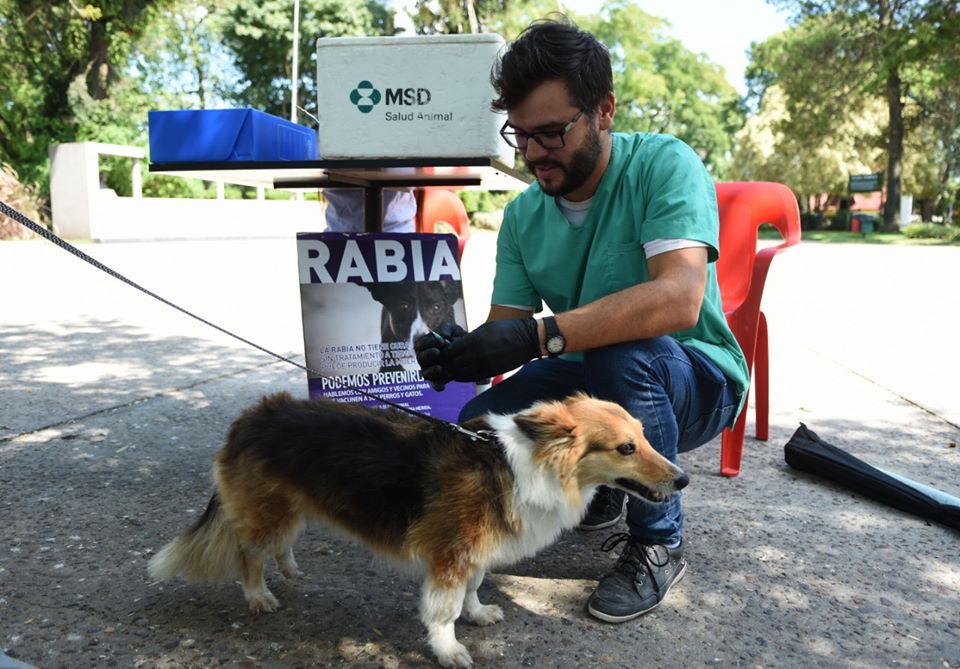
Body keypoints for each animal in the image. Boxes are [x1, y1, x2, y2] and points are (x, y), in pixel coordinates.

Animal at [148, 392, 688, 664]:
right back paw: (258, 594)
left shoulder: (474, 552)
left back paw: (291, 569)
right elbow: (444, 610)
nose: (683, 479)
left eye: (644, 436)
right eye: (625, 448)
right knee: (248, 552)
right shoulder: (450, 553)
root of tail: (249, 418)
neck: (525, 465)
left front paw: (478, 614)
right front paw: (449, 650)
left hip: (294, 508)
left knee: (280, 545)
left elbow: (473, 589)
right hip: (269, 513)